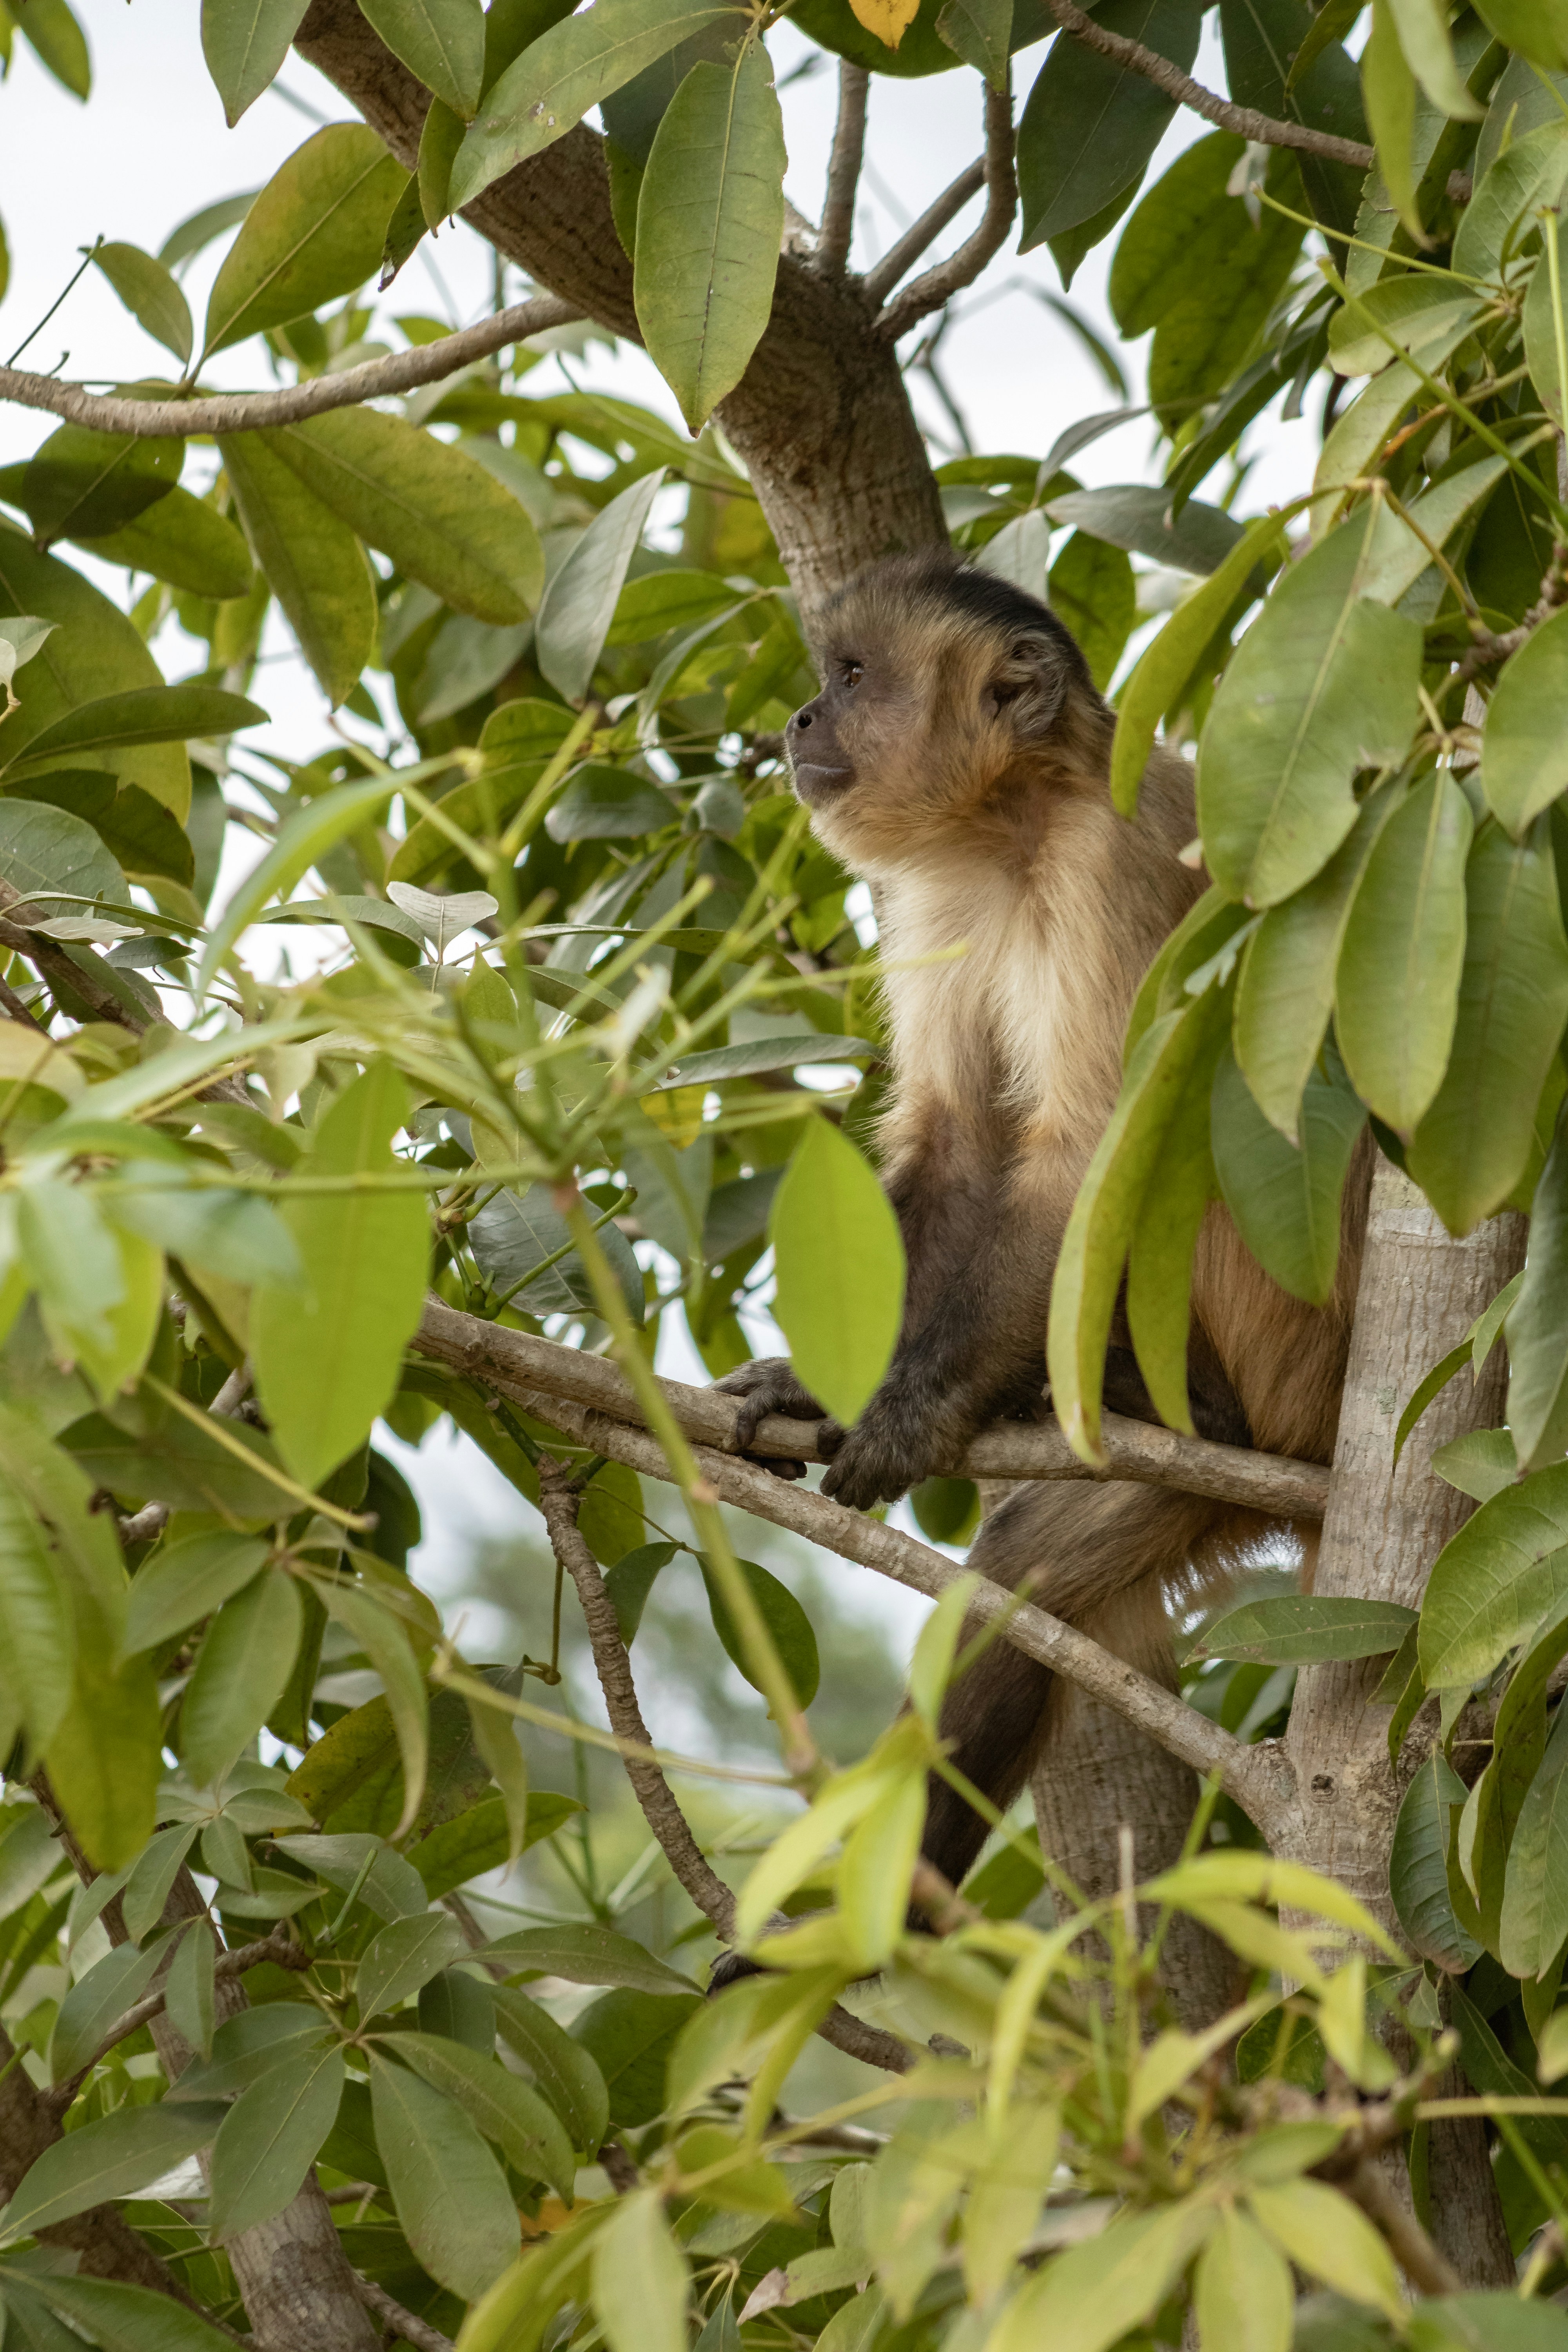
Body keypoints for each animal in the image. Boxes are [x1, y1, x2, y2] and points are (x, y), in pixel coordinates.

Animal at [716, 547, 1369, 1902]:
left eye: (851, 676)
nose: (798, 719)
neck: (1010, 829)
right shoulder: (930, 905)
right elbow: (957, 1145)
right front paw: (812, 1384)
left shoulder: (1106, 863)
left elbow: (1084, 1160)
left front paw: (905, 1409)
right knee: (1018, 1585)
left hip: (1286, 1343)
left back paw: (1177, 1406)